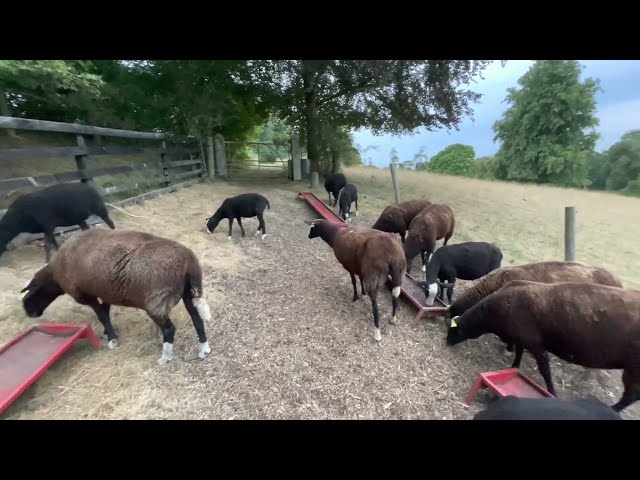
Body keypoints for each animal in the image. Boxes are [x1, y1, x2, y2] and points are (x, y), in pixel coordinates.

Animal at [19, 228, 212, 364]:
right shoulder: (105, 292)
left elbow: (102, 316)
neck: (55, 275)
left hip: (156, 301)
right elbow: (105, 312)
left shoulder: (85, 295)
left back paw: (165, 358)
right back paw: (203, 350)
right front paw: (108, 333)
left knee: (169, 329)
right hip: (188, 293)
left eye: (32, 293)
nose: (29, 313)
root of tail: (188, 262)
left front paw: (112, 339)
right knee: (197, 320)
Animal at [444, 282, 640, 412]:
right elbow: (519, 353)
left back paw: (613, 409)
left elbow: (545, 370)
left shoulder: (535, 344)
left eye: (454, 332)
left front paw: (552, 392)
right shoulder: (521, 339)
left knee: (631, 395)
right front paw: (514, 366)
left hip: (633, 367)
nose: (446, 343)